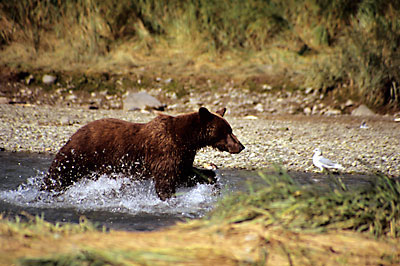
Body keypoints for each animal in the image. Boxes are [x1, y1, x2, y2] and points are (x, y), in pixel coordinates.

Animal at [42, 107, 245, 200]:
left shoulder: (182, 154)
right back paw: (48, 189)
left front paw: (213, 183)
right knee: (60, 173)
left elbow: (186, 173)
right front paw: (169, 197)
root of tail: (75, 132)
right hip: (81, 153)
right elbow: (166, 179)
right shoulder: (165, 150)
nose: (241, 146)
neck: (186, 138)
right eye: (227, 131)